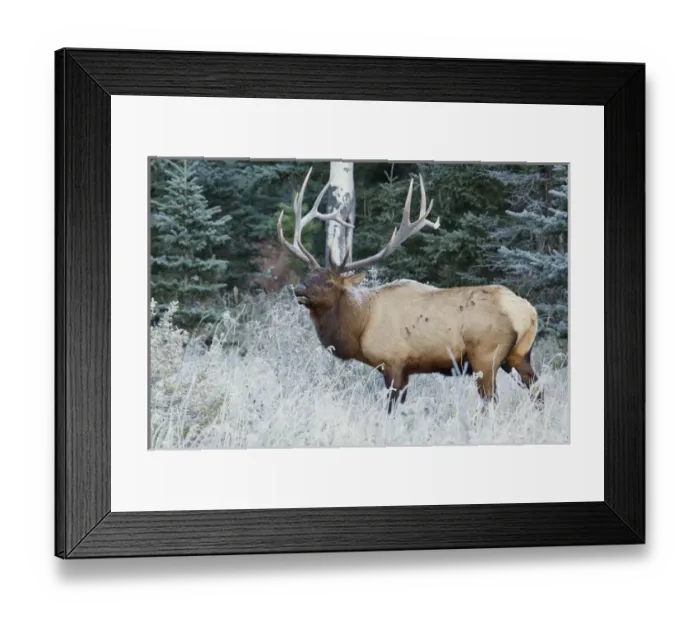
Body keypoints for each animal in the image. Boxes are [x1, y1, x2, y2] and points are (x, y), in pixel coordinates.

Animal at [277, 166, 541, 412]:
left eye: (329, 282)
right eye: (309, 275)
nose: (299, 289)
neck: (361, 324)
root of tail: (528, 313)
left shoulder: (393, 362)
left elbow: (391, 409)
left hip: (486, 356)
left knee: (491, 402)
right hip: (519, 354)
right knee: (537, 390)